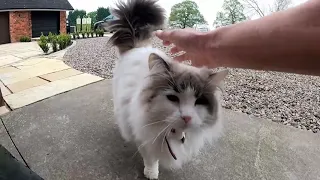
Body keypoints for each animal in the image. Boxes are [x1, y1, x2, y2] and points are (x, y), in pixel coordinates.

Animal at [107, 0, 228, 179]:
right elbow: (150, 157)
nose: (186, 117)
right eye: (173, 98)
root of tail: (138, 47)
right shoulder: (143, 134)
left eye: (199, 101)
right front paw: (151, 172)